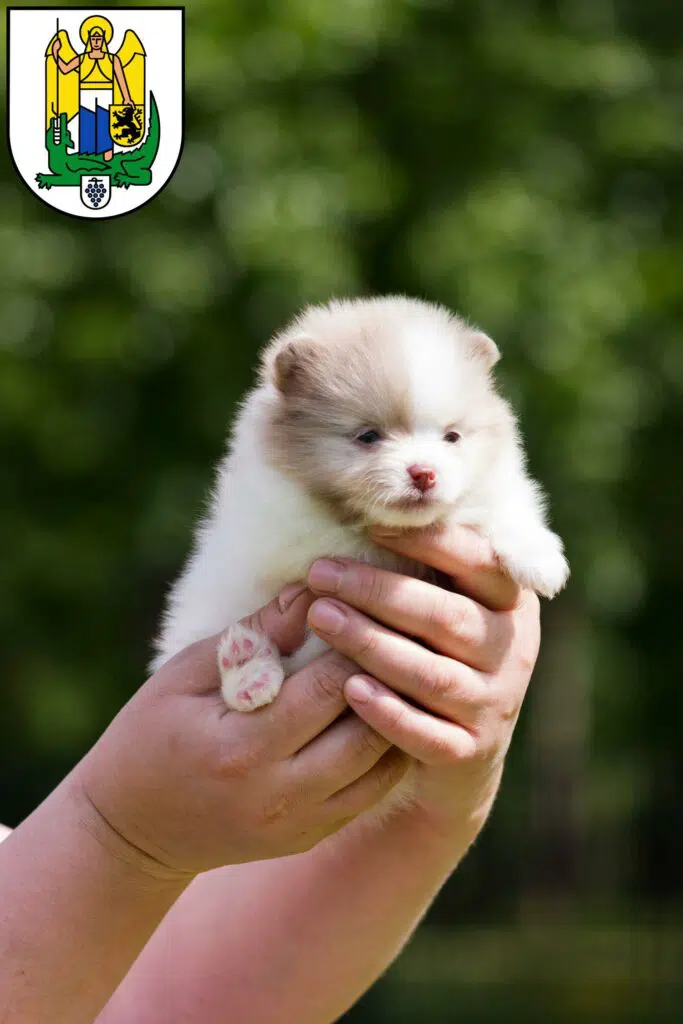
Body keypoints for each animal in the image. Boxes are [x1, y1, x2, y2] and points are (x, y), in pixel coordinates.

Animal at [152, 296, 569, 712]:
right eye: (369, 436)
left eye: (452, 437)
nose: (425, 473)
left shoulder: (495, 484)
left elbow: (505, 505)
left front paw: (540, 561)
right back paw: (246, 671)